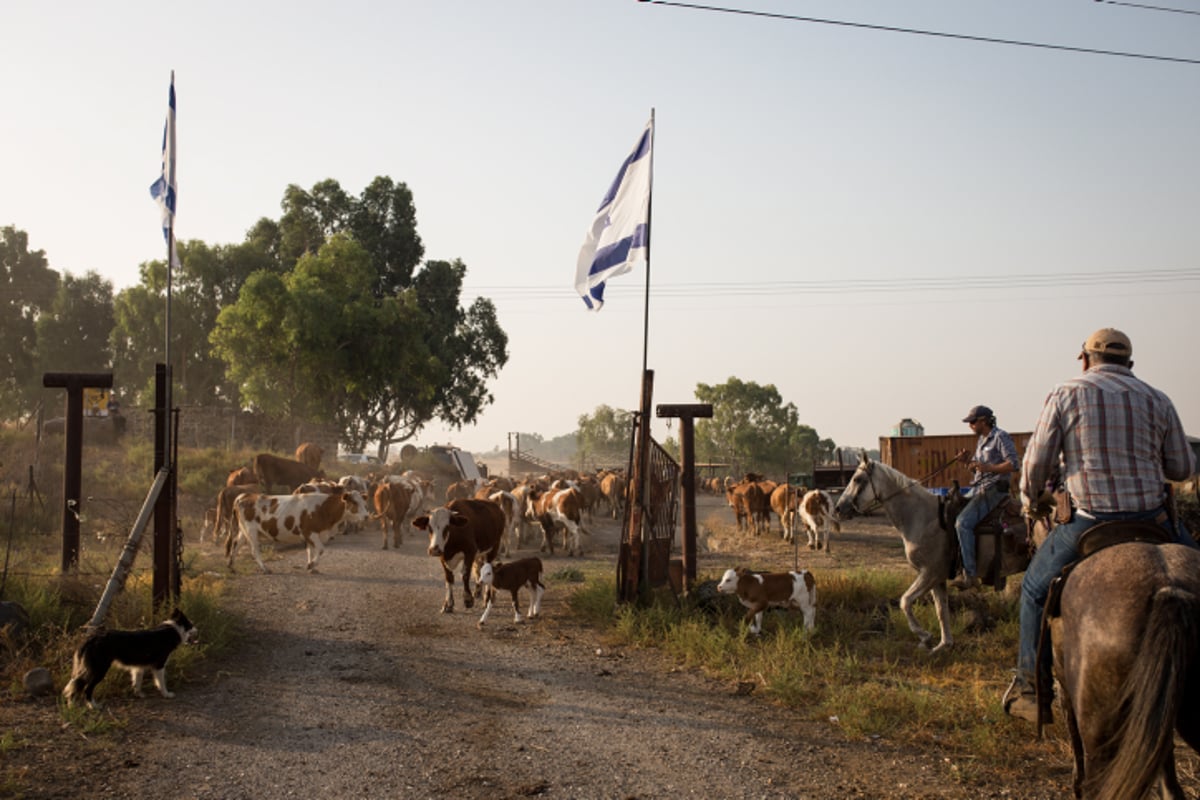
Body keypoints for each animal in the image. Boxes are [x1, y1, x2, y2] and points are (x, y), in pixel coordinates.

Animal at [64, 609, 199, 710]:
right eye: (191, 625)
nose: (198, 630)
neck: (171, 630)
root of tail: (91, 638)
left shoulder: (138, 667)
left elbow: (137, 682)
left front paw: (139, 694)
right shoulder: (159, 665)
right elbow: (161, 682)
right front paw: (166, 694)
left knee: (76, 685)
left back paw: (72, 706)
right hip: (99, 669)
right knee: (87, 688)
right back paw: (94, 706)